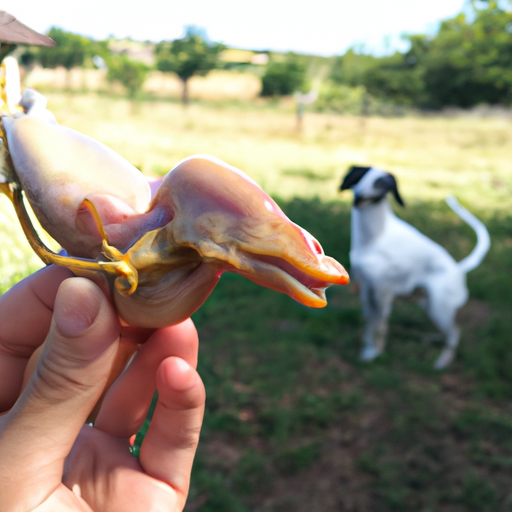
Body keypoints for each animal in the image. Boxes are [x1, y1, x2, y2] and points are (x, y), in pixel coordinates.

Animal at [338, 166, 490, 370]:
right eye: (360, 177)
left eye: (381, 184)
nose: (359, 196)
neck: (374, 237)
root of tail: (458, 269)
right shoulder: (366, 289)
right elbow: (369, 324)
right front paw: (367, 351)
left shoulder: (383, 293)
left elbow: (379, 327)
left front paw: (374, 353)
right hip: (428, 305)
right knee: (448, 332)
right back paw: (433, 339)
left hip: (438, 308)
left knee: (455, 333)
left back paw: (443, 360)